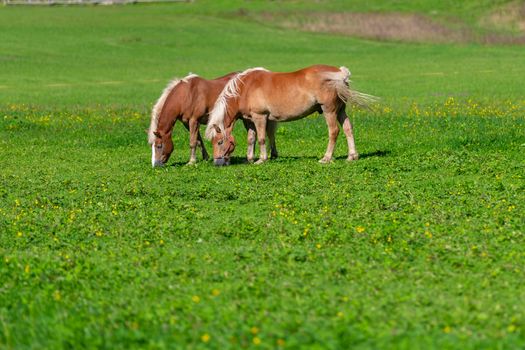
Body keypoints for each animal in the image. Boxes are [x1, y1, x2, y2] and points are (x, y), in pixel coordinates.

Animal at [204, 64, 372, 164]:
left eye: (220, 142)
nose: (217, 162)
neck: (245, 87)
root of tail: (340, 74)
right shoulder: (250, 120)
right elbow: (252, 138)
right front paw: (250, 158)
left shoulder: (260, 117)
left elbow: (262, 138)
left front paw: (262, 159)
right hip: (340, 110)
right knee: (348, 129)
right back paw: (352, 156)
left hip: (329, 110)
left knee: (334, 131)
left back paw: (326, 158)